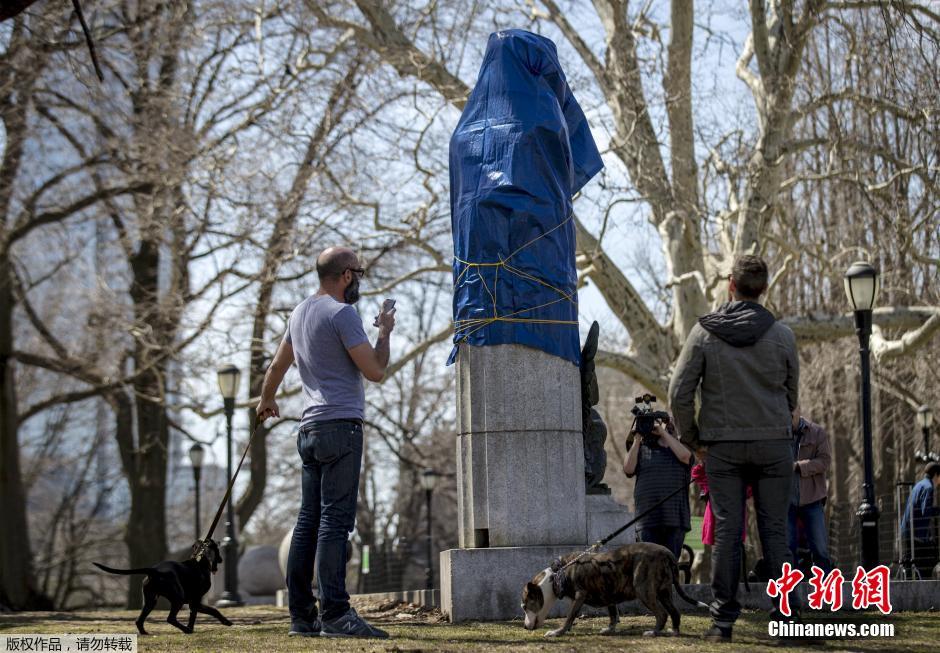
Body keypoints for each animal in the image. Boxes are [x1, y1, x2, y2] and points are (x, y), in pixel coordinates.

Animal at [520, 540, 704, 636]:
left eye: (525, 606)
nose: (524, 627)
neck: (557, 574)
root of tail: (667, 553)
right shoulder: (608, 592)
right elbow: (613, 613)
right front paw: (610, 629)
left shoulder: (580, 596)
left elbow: (570, 616)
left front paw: (559, 632)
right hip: (664, 591)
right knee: (675, 612)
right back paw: (674, 631)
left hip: (644, 590)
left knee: (662, 613)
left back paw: (654, 632)